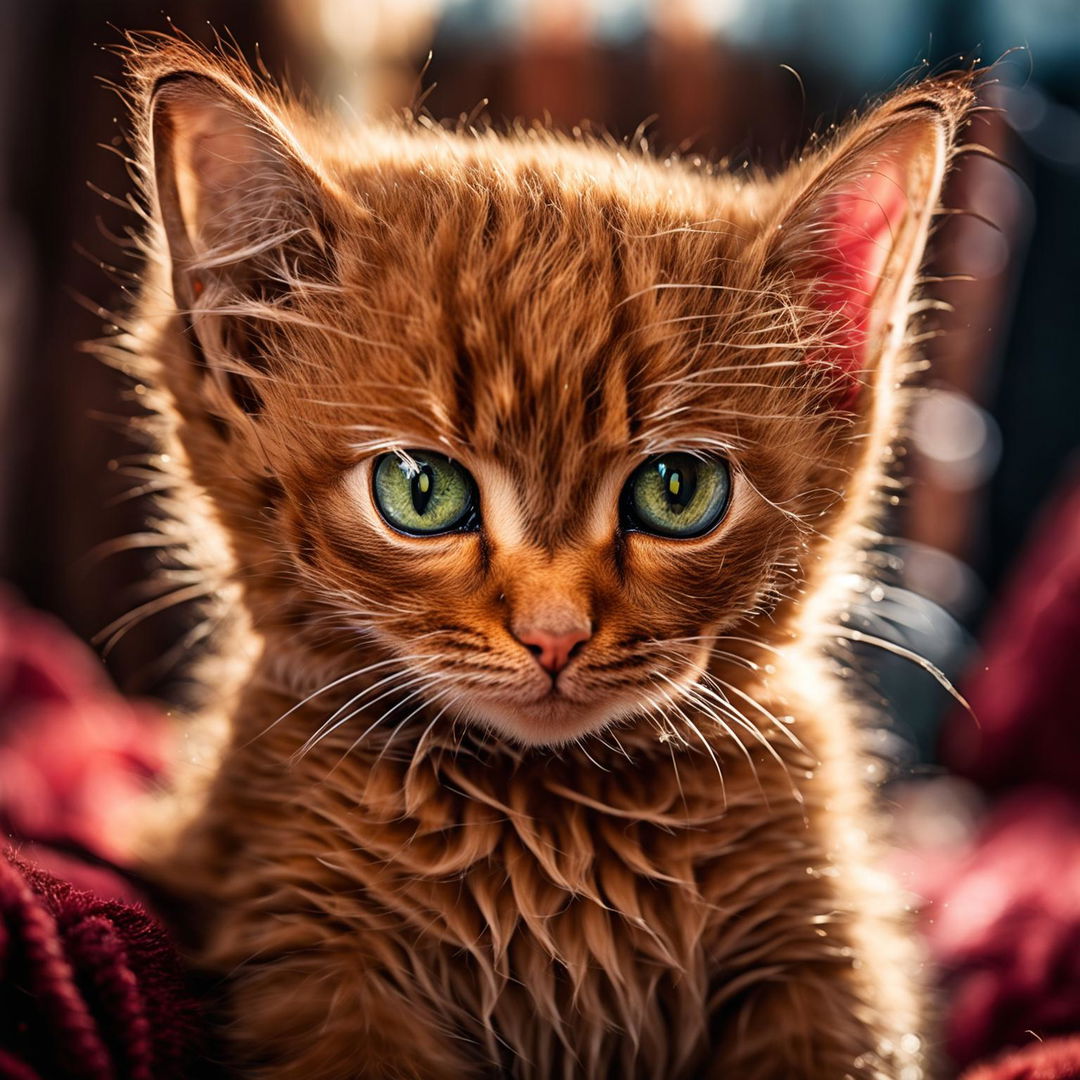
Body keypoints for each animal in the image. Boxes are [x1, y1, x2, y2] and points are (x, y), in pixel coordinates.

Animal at [122, 38, 976, 1080]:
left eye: (678, 490)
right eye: (420, 492)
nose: (555, 634)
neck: (554, 822)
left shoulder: (832, 959)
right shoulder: (304, 948)